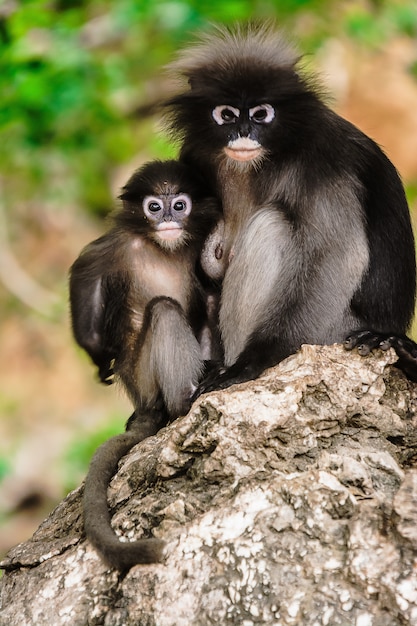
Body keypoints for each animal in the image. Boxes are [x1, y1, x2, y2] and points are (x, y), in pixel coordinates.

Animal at [70, 158, 221, 568]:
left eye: (179, 205)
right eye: (154, 207)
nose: (168, 217)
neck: (162, 245)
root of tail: (145, 402)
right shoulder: (112, 247)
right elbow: (85, 286)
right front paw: (98, 362)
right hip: (141, 374)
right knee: (164, 309)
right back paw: (184, 400)